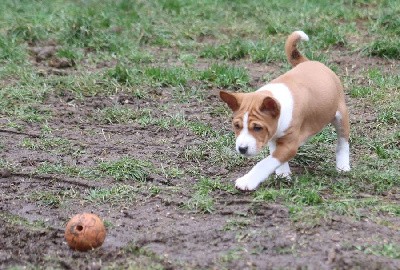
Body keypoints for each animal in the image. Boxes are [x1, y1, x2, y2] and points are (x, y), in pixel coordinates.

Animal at [220, 30, 348, 191]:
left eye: (257, 128)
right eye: (236, 126)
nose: (242, 149)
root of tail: (308, 62)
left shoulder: (289, 145)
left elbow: (265, 162)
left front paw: (248, 181)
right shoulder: (274, 136)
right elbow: (274, 157)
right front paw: (283, 174)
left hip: (341, 116)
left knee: (343, 142)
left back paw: (343, 166)